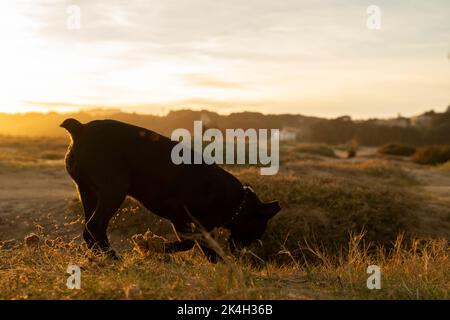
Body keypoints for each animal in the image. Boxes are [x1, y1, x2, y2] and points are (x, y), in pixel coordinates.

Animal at [61, 119, 280, 262]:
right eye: (257, 230)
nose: (241, 252)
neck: (237, 202)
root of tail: (80, 129)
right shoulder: (189, 220)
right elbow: (192, 244)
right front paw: (150, 246)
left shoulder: (187, 222)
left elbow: (198, 245)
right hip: (114, 190)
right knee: (96, 225)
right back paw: (112, 256)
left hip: (88, 192)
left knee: (88, 229)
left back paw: (100, 256)